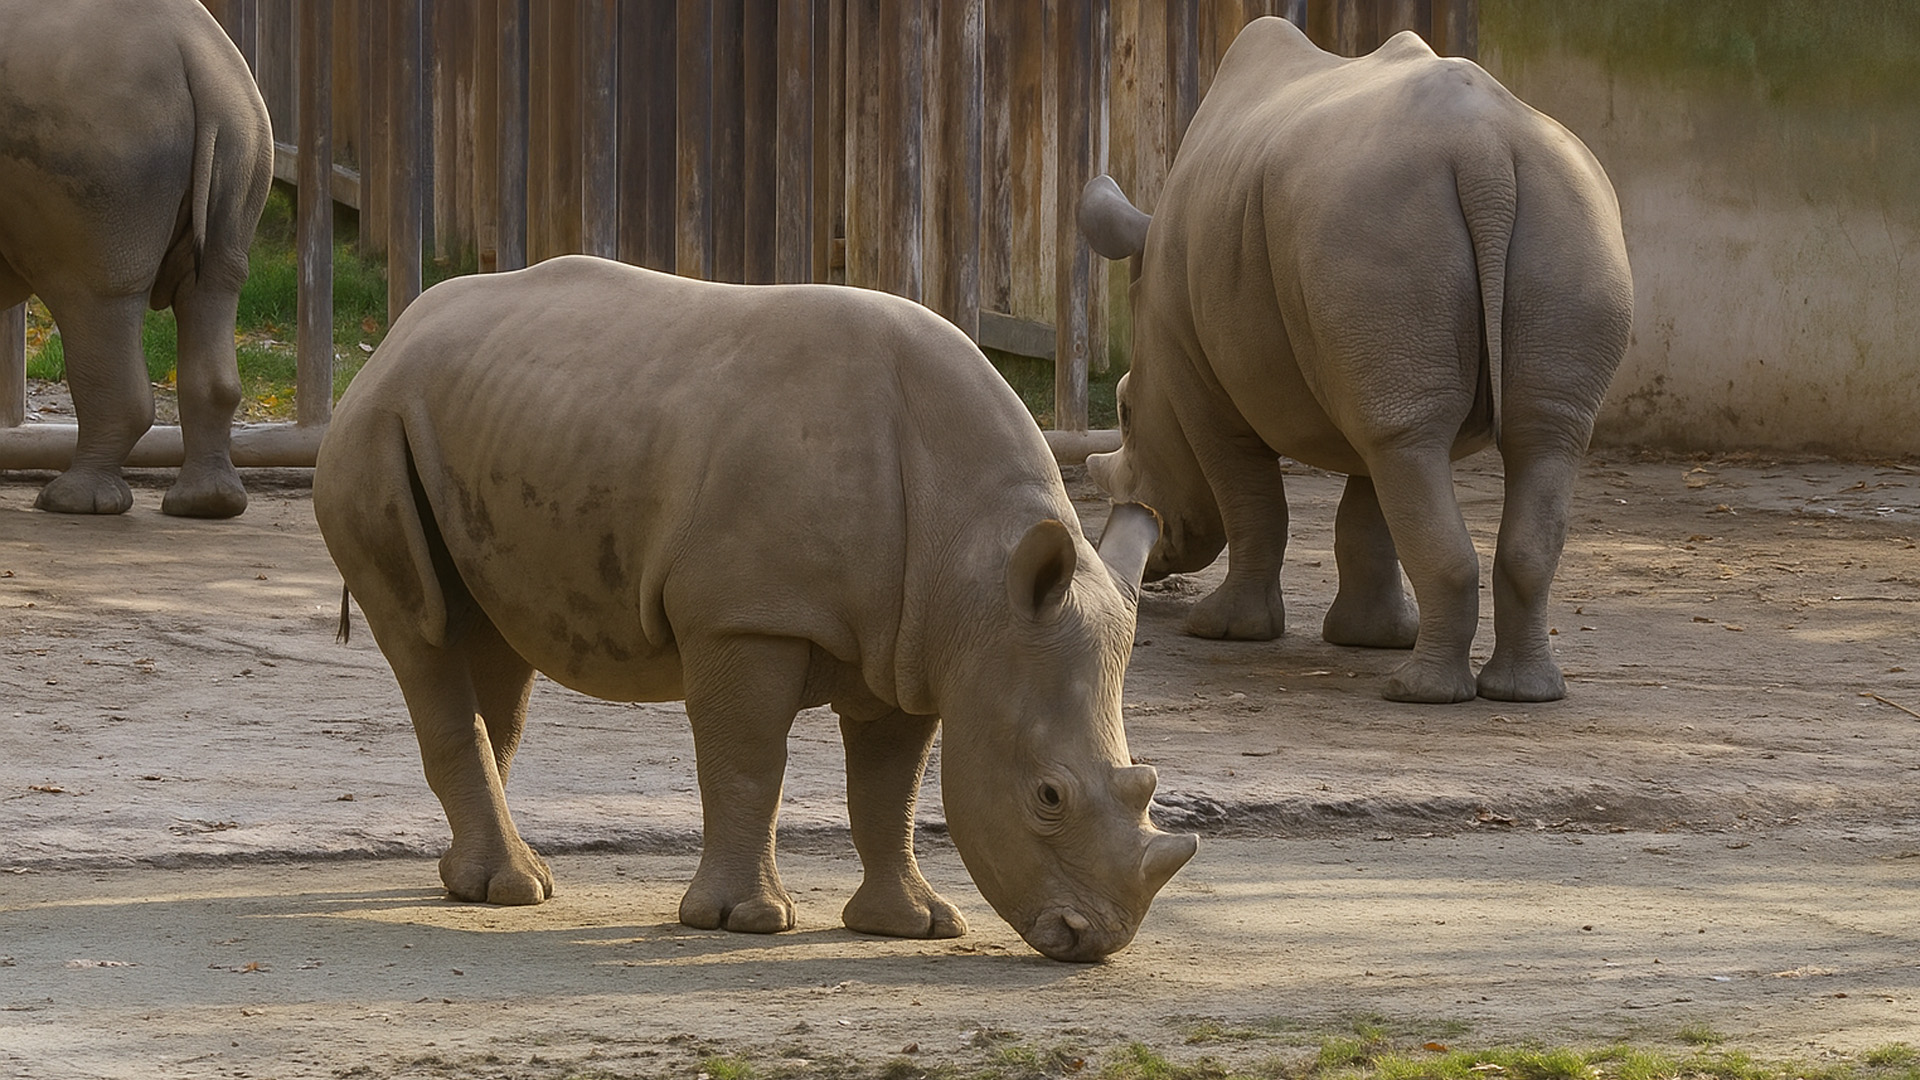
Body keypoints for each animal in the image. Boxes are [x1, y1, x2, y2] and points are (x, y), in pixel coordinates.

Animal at [0, 0, 273, 517]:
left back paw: (70, 502)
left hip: (101, 127)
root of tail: (196, 52)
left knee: (93, 294)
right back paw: (206, 506)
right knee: (215, 286)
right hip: (243, 123)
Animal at [313, 255, 1197, 962]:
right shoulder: (747, 615)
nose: (1094, 941)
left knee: (492, 641)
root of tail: (392, 338)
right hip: (374, 432)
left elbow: (891, 788)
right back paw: (512, 887)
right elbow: (748, 763)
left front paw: (910, 925)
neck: (980, 573)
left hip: (493, 422)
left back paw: (481, 882)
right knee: (424, 633)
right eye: (1048, 797)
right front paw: (743, 922)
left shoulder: (917, 647)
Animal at [1078, 17, 1633, 704]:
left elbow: (1252, 500)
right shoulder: (1364, 362)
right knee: (1521, 438)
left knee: (1419, 446)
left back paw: (1416, 694)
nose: (1148, 562)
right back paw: (1521, 693)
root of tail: (1485, 152)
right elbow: (1371, 511)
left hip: (1376, 221)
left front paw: (1225, 630)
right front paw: (1371, 638)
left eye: (1126, 410)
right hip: (1563, 216)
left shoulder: (1203, 385)